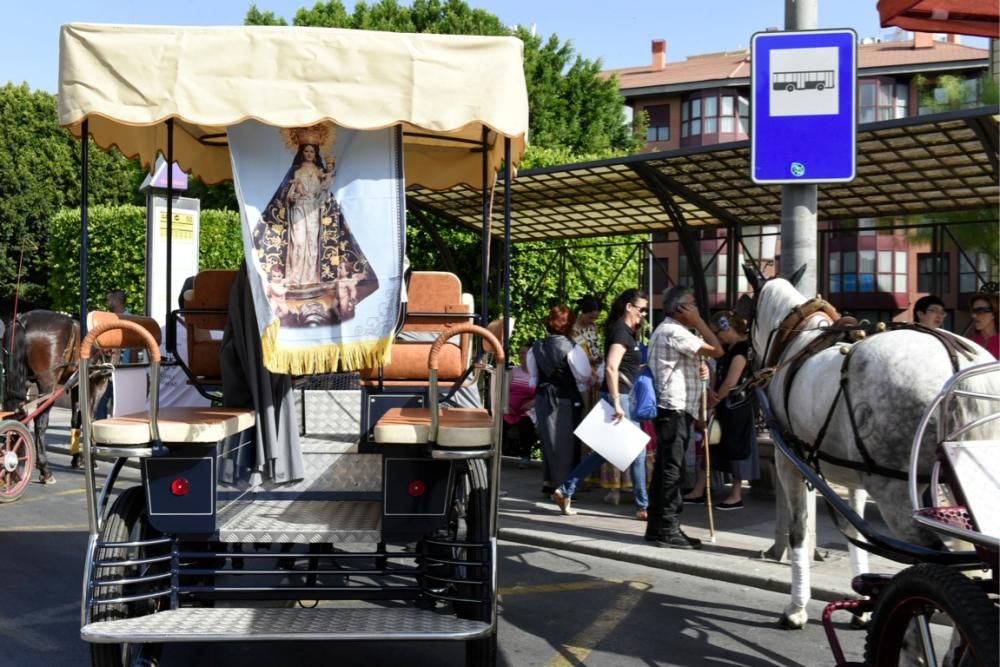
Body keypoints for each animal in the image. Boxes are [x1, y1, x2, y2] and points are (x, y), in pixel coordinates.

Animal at [2, 310, 85, 482]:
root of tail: (23, 320)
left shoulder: (76, 385)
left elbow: (76, 418)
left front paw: (76, 458)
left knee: (18, 413)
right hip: (47, 385)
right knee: (39, 422)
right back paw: (44, 469)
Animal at [748, 264, 996, 628]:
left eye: (746, 312)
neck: (798, 342)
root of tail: (959, 362)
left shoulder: (788, 461)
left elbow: (799, 531)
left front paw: (796, 608)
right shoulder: (851, 475)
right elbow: (857, 531)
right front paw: (861, 604)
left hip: (894, 491)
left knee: (938, 561)